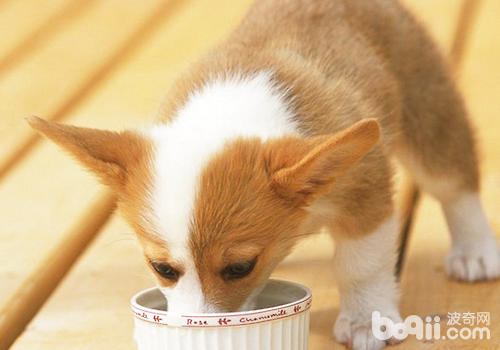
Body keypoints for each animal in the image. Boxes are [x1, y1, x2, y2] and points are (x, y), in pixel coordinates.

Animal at [28, 0, 500, 348]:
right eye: (162, 268)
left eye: (240, 267)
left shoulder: (365, 193)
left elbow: (361, 264)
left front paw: (367, 319)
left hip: (428, 112)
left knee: (454, 183)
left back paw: (475, 251)